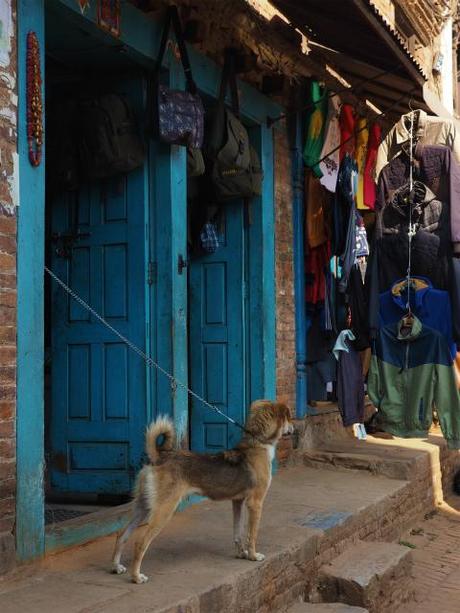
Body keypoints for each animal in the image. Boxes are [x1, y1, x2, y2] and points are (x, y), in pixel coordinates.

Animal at [110, 396, 292, 584]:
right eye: (289, 417)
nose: (294, 428)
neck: (257, 443)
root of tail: (159, 457)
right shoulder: (255, 503)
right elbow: (252, 534)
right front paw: (253, 556)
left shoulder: (238, 501)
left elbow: (238, 532)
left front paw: (242, 553)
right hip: (164, 509)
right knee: (140, 542)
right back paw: (136, 576)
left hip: (143, 506)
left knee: (122, 535)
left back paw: (117, 567)